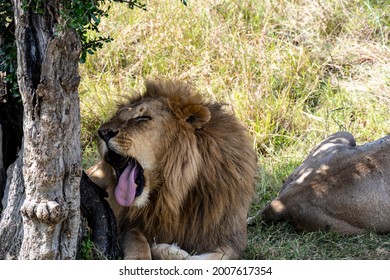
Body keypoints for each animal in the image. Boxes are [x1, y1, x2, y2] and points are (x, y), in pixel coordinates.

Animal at [87, 80, 258, 260]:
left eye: (142, 118)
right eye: (116, 117)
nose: (102, 132)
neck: (172, 194)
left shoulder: (232, 240)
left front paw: (165, 250)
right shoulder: (125, 224)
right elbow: (137, 241)